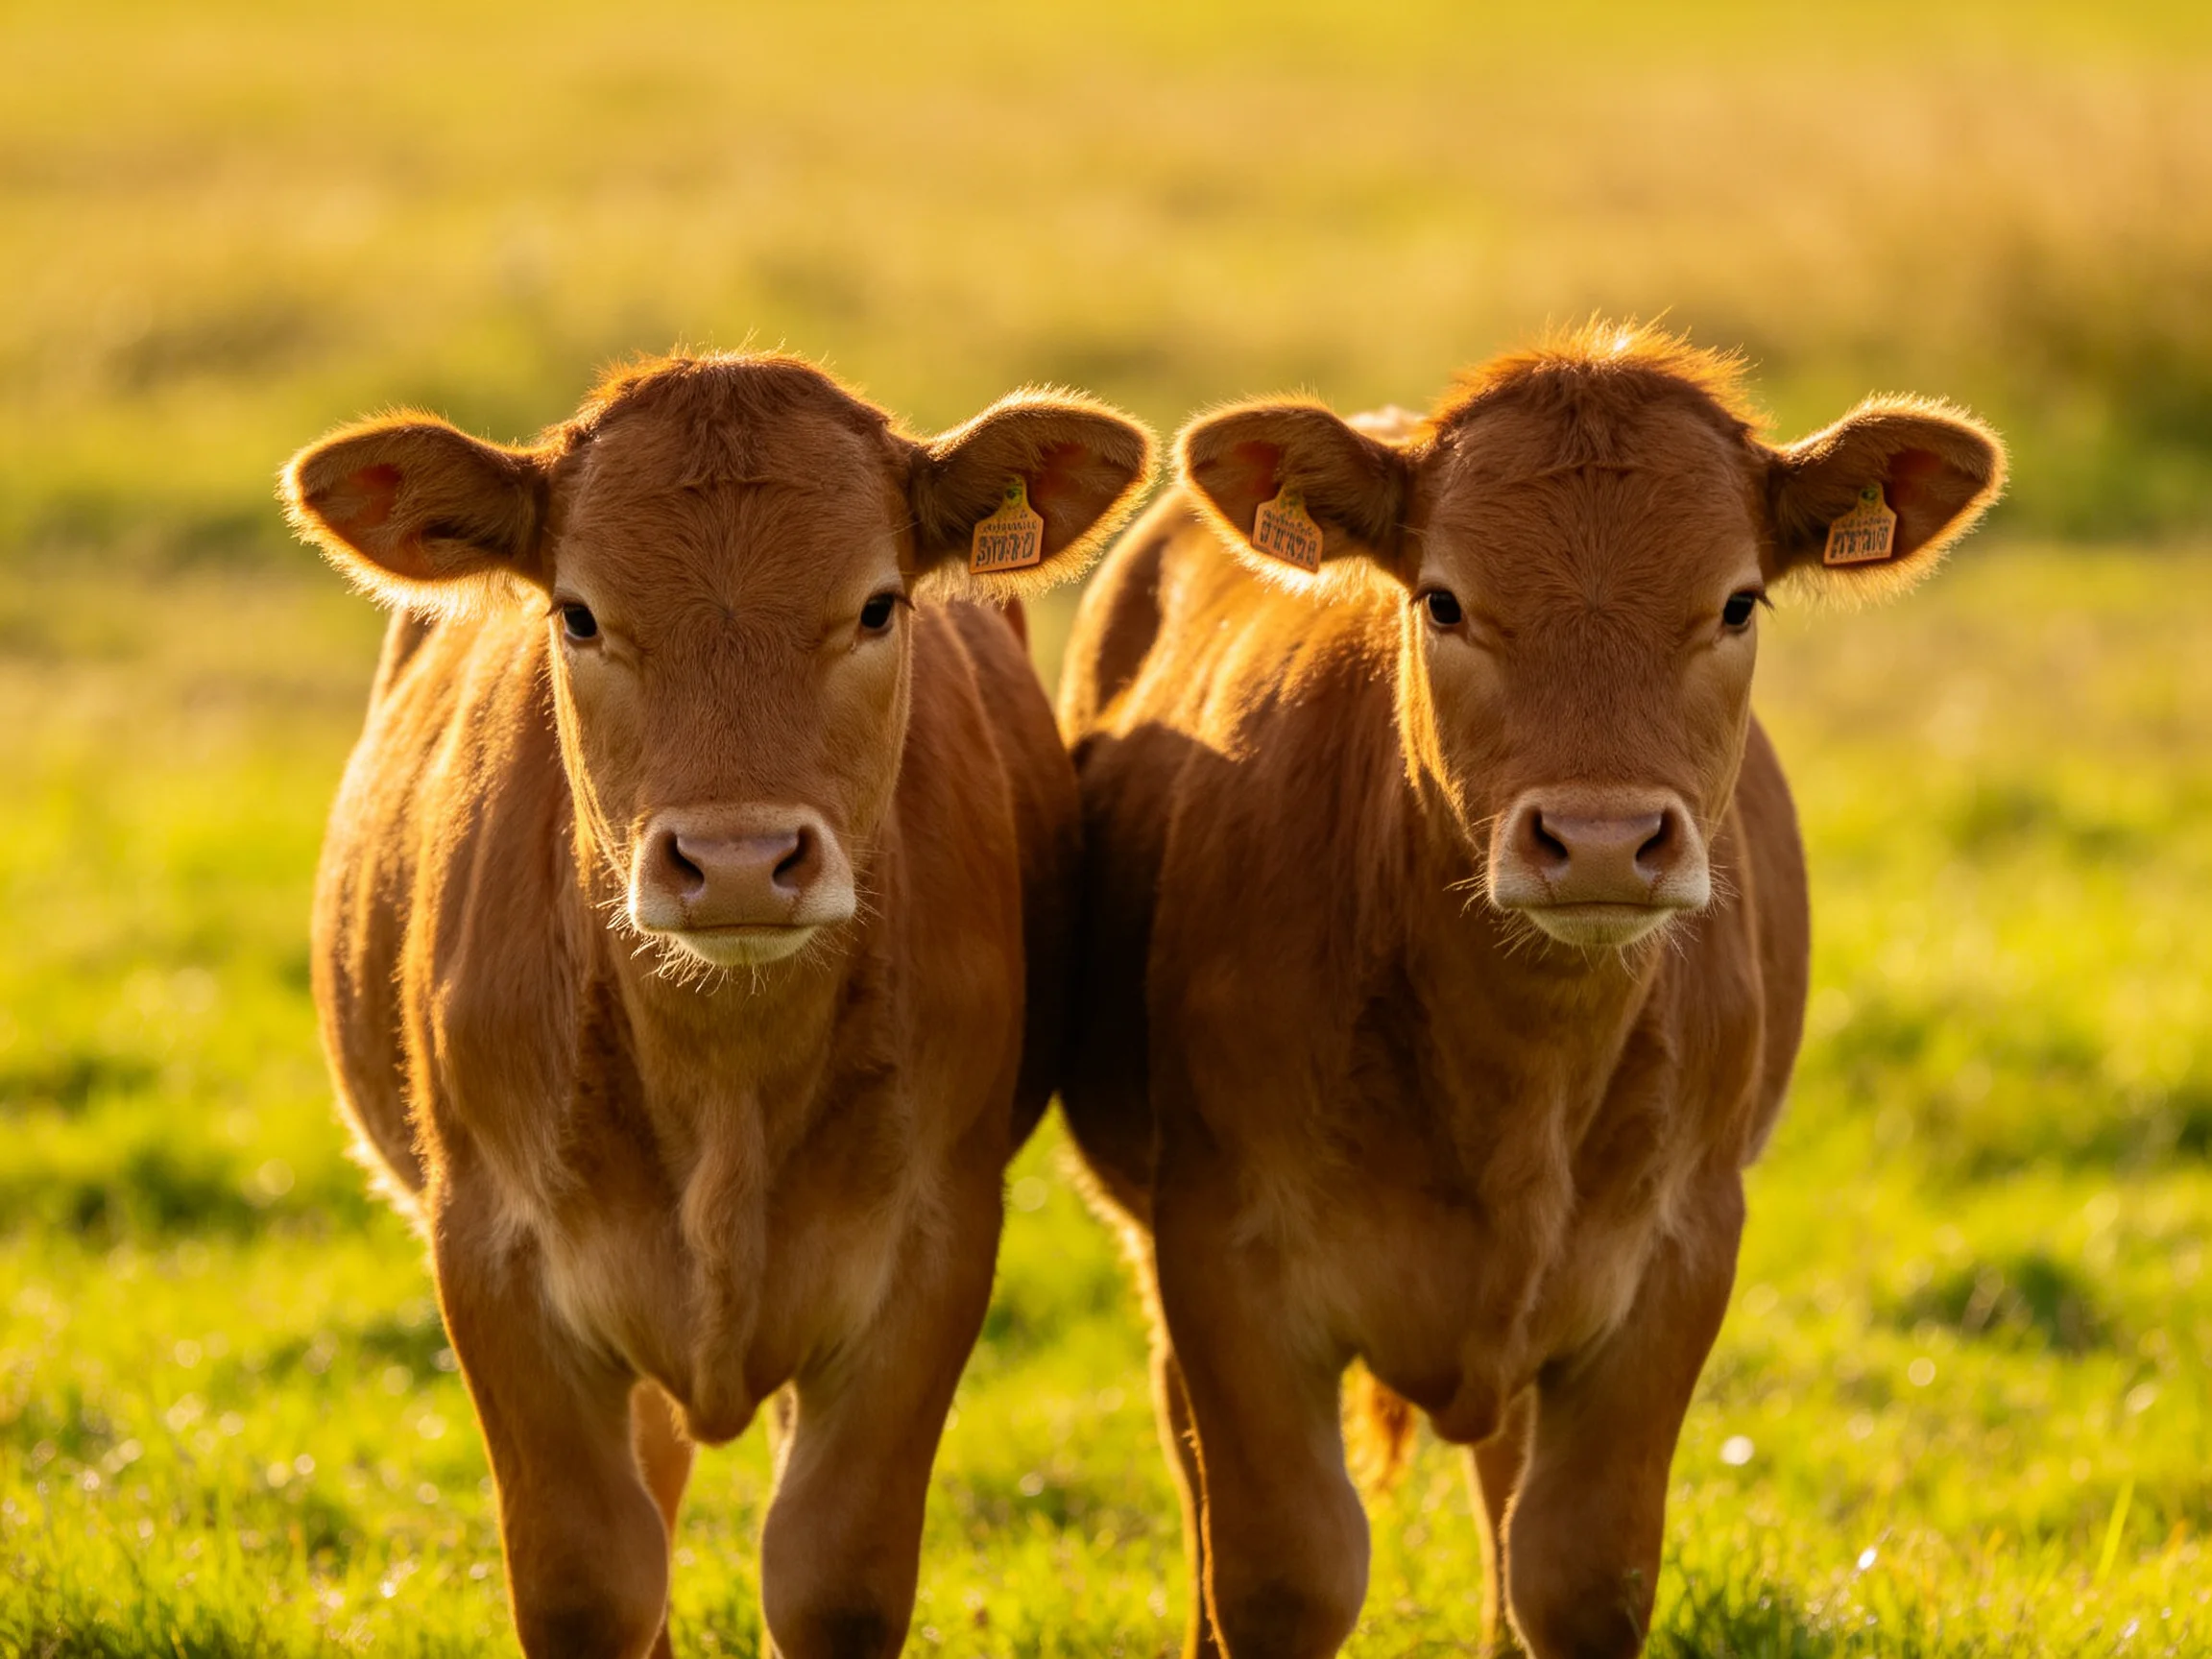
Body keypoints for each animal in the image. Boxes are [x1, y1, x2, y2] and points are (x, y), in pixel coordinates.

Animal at [279, 353, 1154, 1659]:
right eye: (579, 614)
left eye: (878, 606)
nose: (738, 862)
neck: (724, 1080)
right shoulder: (490, 1253)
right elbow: (593, 1582)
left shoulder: (931, 1253)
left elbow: (832, 1579)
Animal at [1056, 325, 2003, 1659]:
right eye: (1443, 600)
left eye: (1738, 602)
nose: (1602, 842)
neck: (1515, 1074)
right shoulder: (1221, 1252)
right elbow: (1285, 1571)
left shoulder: (1678, 1253)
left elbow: (1576, 1573)